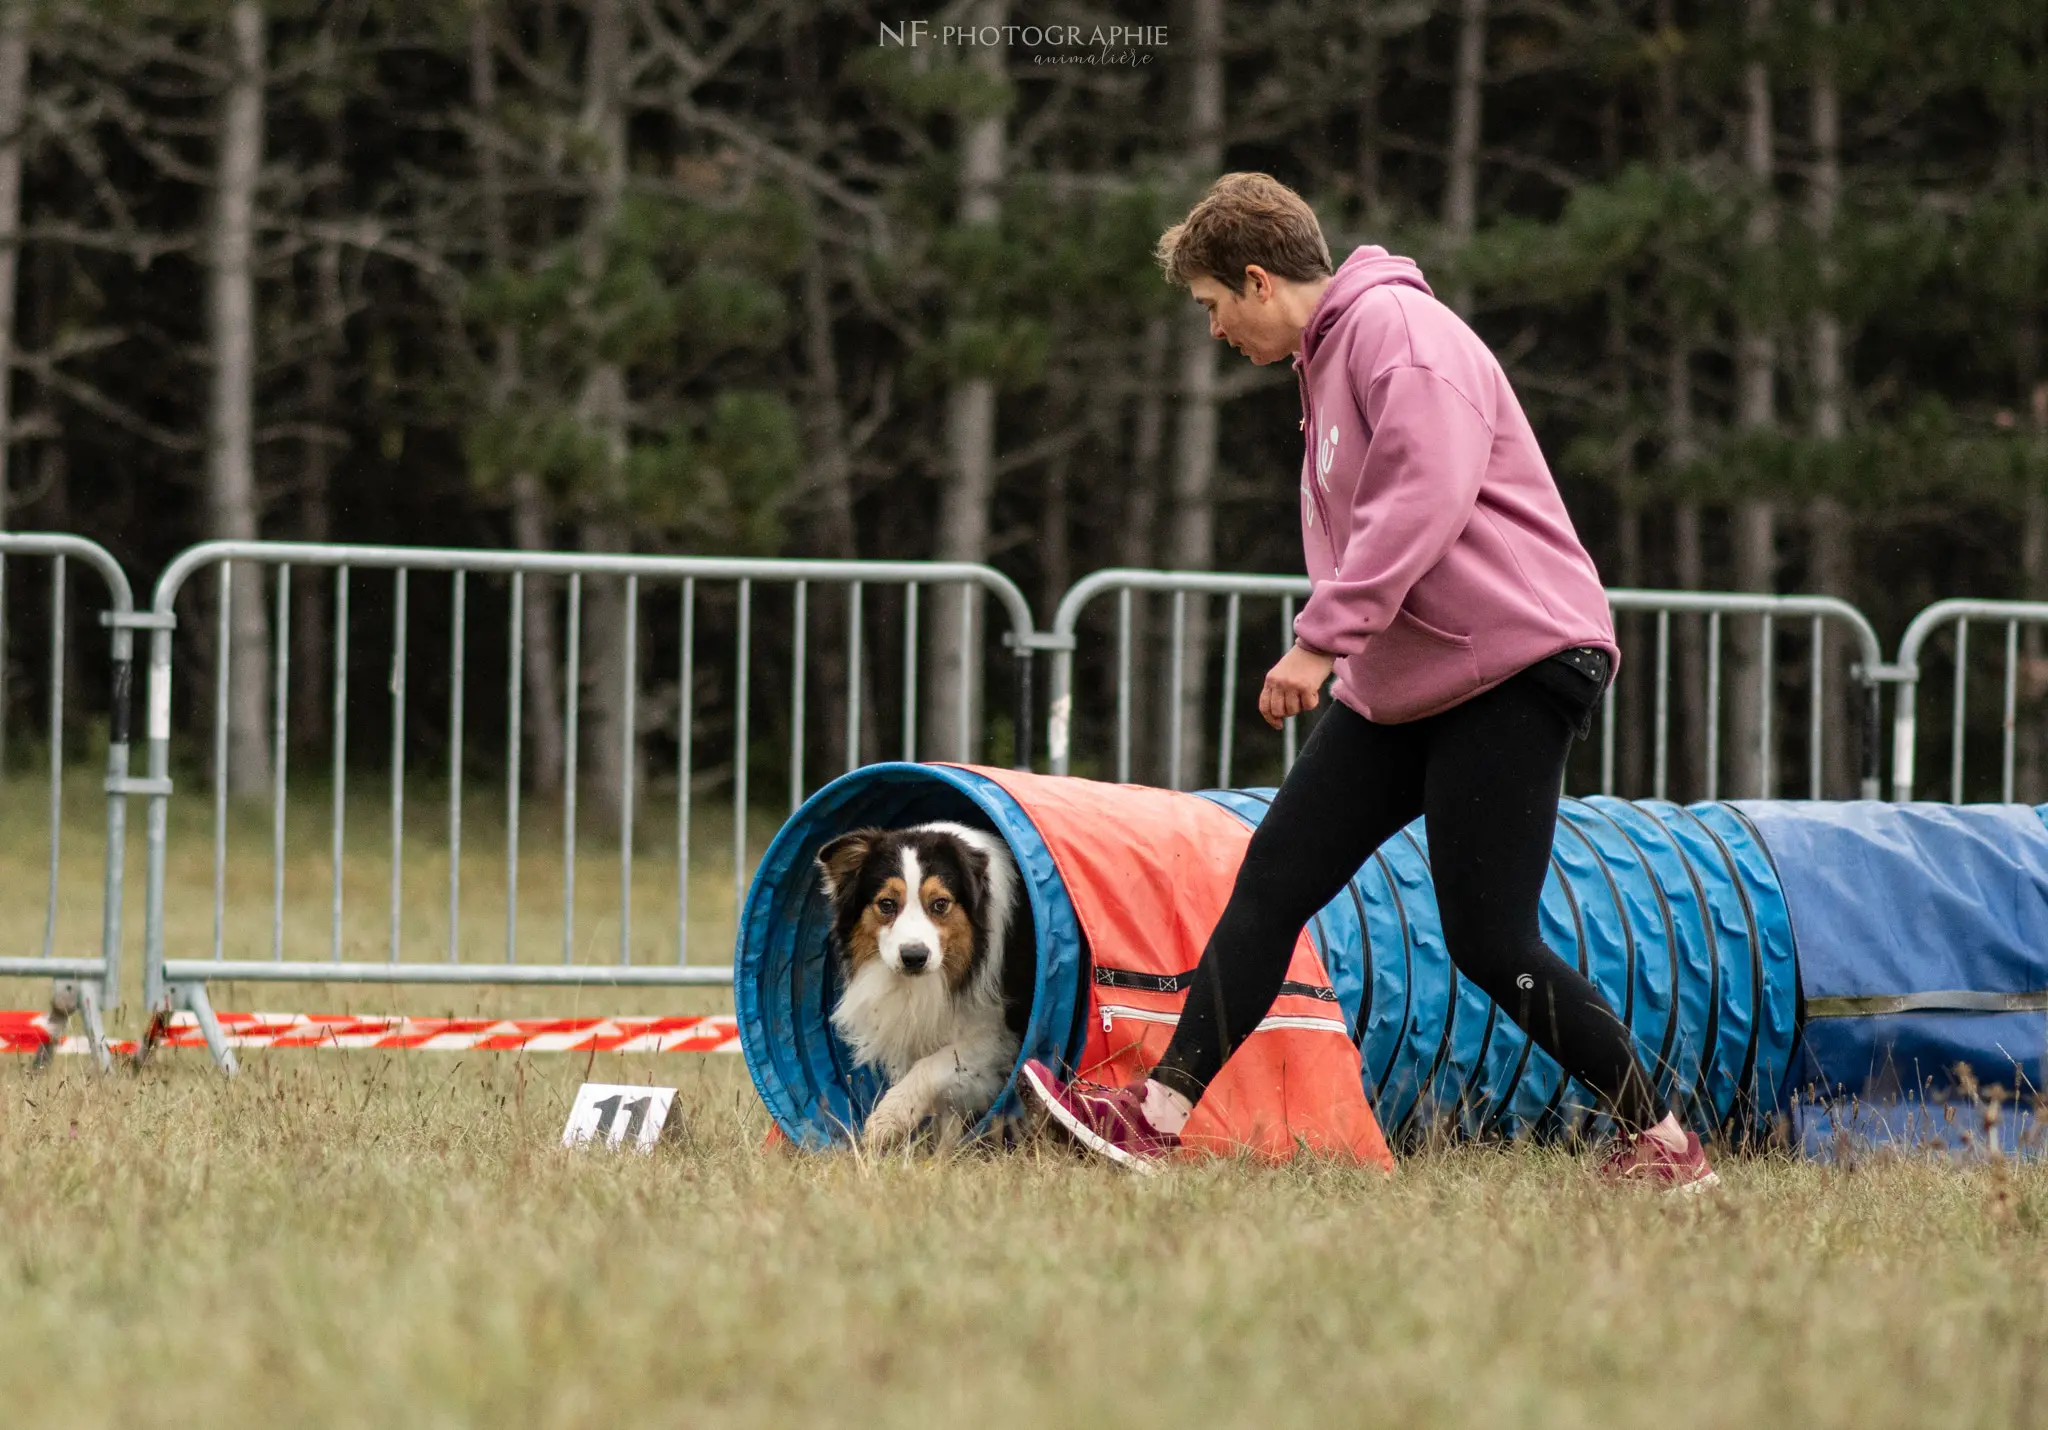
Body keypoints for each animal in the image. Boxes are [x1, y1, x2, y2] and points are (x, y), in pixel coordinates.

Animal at [815, 819, 1032, 1139]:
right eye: (887, 904)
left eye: (940, 904)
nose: (914, 957)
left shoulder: (1000, 1035)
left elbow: (932, 1065)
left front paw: (886, 1120)